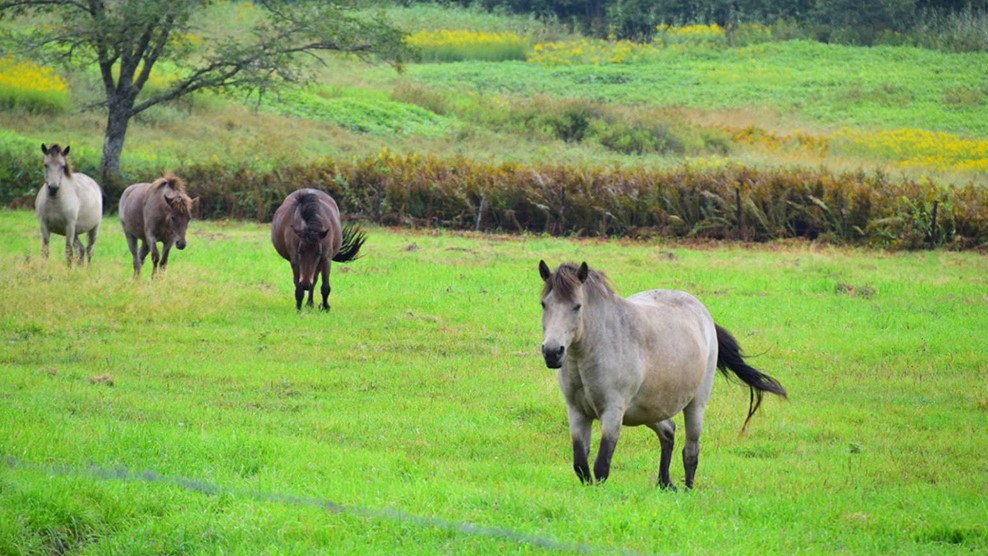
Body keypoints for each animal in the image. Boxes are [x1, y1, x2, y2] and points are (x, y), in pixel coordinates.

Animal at [540, 262, 788, 488]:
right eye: (544, 304)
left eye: (577, 306)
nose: (552, 352)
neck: (595, 348)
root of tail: (704, 315)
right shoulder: (577, 412)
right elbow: (581, 466)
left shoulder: (612, 413)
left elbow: (601, 467)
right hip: (648, 410)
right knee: (668, 431)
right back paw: (665, 483)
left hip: (695, 405)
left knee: (691, 452)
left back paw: (687, 491)